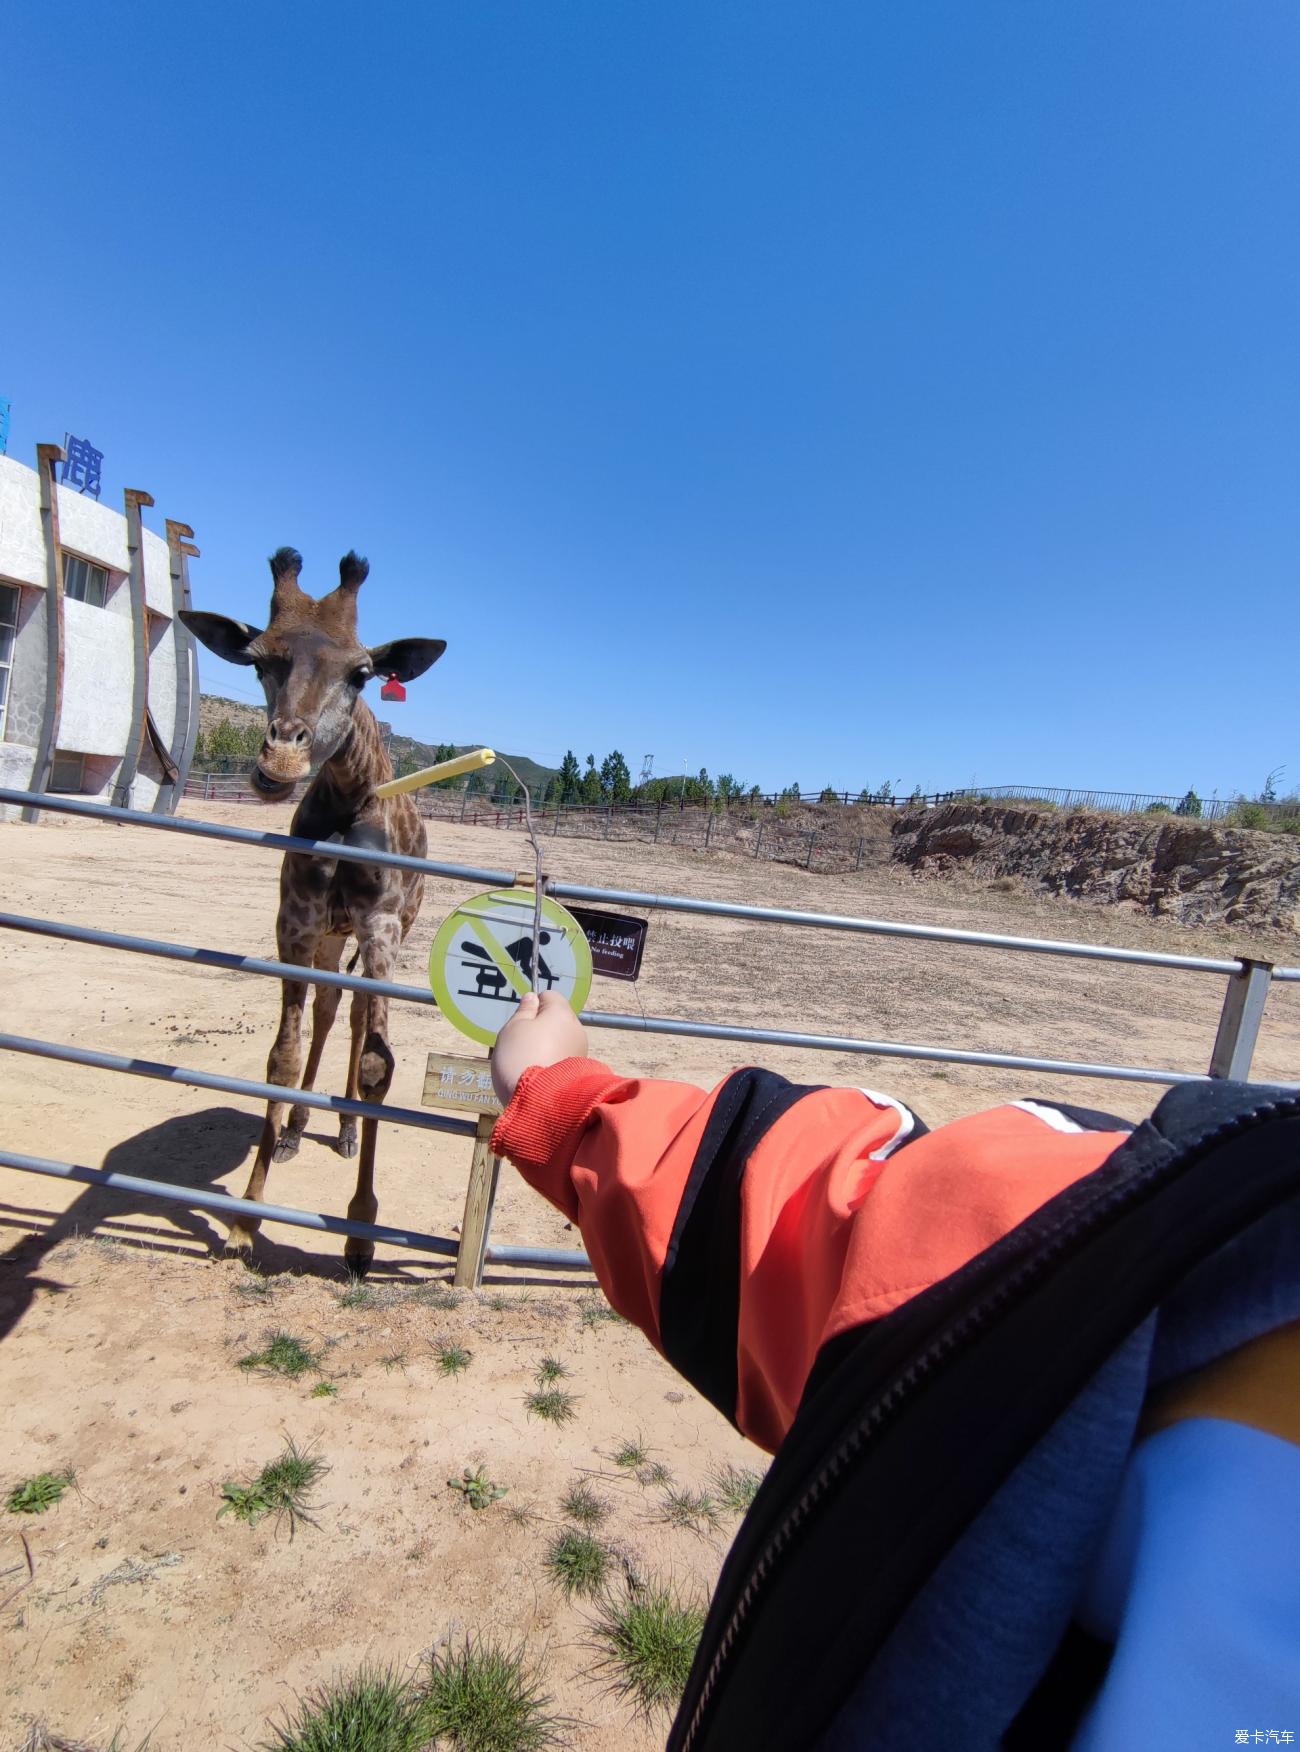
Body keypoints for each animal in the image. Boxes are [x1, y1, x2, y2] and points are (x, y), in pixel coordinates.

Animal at [180, 546, 448, 1275]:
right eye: (258, 660)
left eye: (362, 673)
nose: (280, 759)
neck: (348, 801)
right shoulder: (296, 921)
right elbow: (281, 1054)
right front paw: (246, 1220)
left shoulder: (381, 926)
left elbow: (378, 1062)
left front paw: (361, 1235)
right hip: (331, 934)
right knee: (330, 1012)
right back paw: (302, 1128)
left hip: (382, 931)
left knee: (354, 1021)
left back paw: (348, 1131)